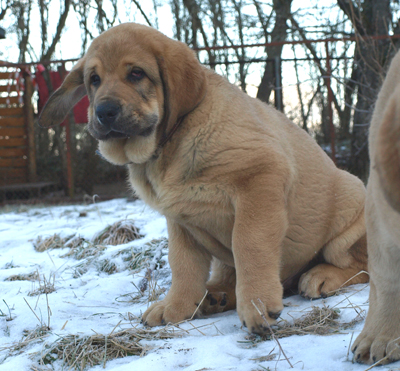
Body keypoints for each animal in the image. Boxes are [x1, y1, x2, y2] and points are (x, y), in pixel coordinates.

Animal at [39, 21, 368, 336]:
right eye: (94, 80)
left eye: (136, 74)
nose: (104, 111)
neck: (170, 142)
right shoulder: (181, 219)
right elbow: (183, 265)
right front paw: (176, 306)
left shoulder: (261, 179)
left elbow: (250, 245)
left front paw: (257, 303)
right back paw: (215, 296)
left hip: (352, 207)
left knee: (362, 265)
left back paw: (321, 276)